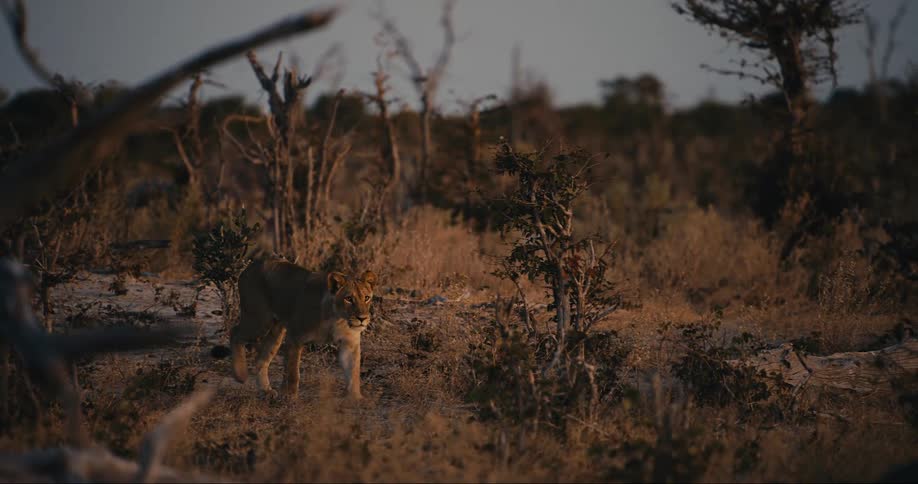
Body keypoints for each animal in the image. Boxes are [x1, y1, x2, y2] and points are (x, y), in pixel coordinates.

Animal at [229, 259, 377, 399]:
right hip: (259, 321)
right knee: (234, 332)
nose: (362, 318)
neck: (337, 319)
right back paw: (240, 374)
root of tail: (253, 264)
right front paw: (289, 396)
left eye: (367, 298)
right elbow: (293, 371)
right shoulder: (295, 336)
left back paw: (266, 391)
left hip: (276, 331)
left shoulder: (350, 342)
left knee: (261, 359)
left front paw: (356, 397)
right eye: (349, 298)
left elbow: (353, 372)